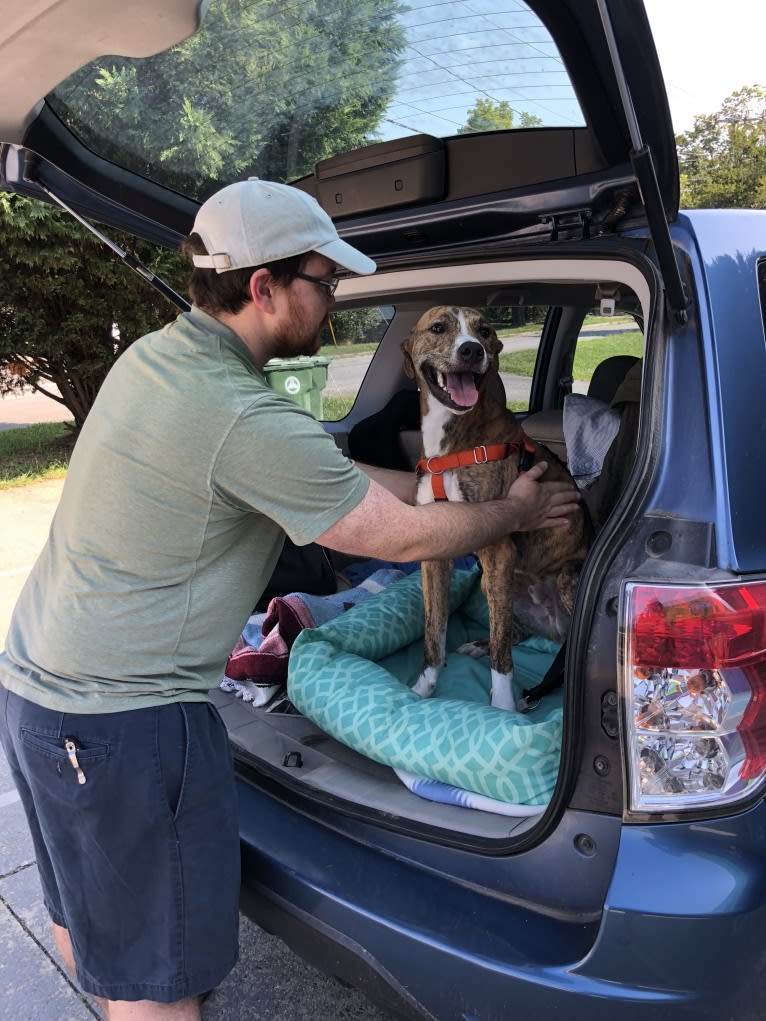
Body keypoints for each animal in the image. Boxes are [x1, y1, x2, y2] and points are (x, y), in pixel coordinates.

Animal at [404, 306, 592, 714]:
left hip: (563, 576)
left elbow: (503, 657)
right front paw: (422, 689)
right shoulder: (436, 555)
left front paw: (504, 708)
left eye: (485, 331)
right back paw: (481, 644)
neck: (451, 436)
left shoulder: (499, 551)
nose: (472, 350)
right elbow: (433, 630)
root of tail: (553, 626)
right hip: (496, 584)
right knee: (512, 628)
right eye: (438, 327)